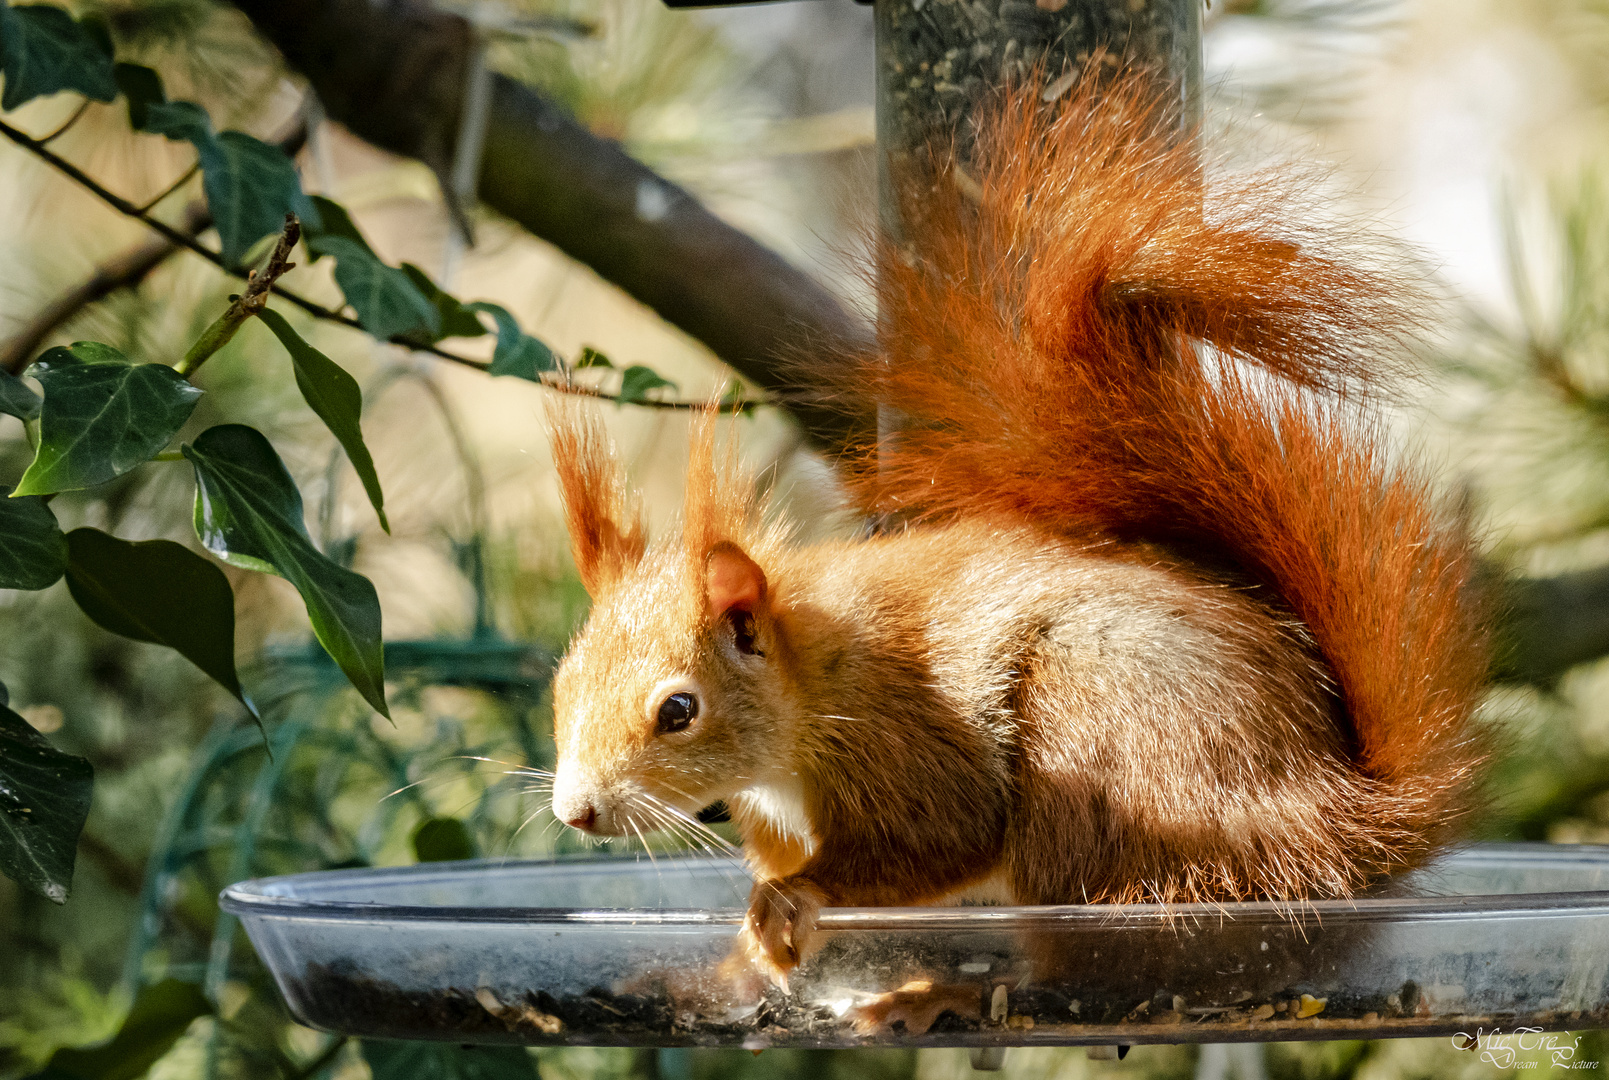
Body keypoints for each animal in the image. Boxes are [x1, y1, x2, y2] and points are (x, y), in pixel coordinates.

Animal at [547, 74, 1486, 991]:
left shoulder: (904, 743)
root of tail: (1344, 824)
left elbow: (941, 839)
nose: (574, 811)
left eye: (678, 710)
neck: (806, 689)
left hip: (1101, 743)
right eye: (560, 686)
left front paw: (792, 900)